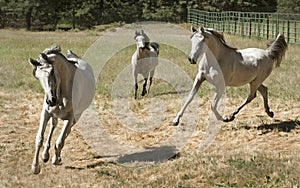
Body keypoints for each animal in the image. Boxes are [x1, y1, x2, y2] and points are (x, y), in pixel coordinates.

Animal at [28, 44, 95, 174]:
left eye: (52, 71)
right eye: (37, 77)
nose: (50, 101)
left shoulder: (69, 118)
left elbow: (59, 141)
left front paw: (55, 160)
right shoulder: (46, 113)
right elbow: (39, 138)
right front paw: (35, 166)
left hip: (76, 116)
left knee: (66, 133)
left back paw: (56, 157)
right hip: (55, 114)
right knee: (53, 126)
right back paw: (45, 155)